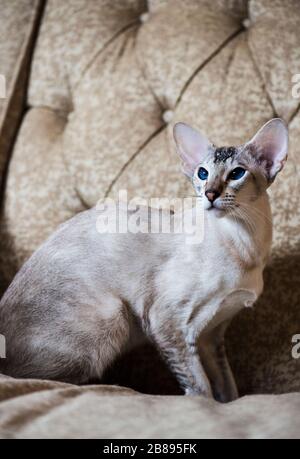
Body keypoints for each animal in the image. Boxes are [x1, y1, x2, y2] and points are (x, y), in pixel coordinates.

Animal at [0, 118, 288, 402]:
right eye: (203, 174)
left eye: (236, 174)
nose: (210, 194)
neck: (247, 246)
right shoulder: (168, 322)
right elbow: (200, 389)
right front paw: (201, 403)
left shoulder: (211, 334)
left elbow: (228, 390)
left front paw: (226, 401)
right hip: (113, 317)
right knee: (31, 376)